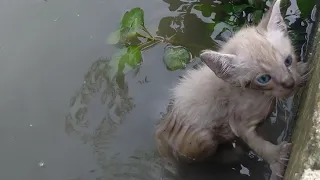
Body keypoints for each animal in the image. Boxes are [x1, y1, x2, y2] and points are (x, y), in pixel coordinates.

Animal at [155, 0, 310, 179]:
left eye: (288, 61)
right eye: (264, 79)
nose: (289, 83)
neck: (259, 95)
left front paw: (301, 71)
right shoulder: (240, 123)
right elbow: (258, 145)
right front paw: (278, 159)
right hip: (201, 140)